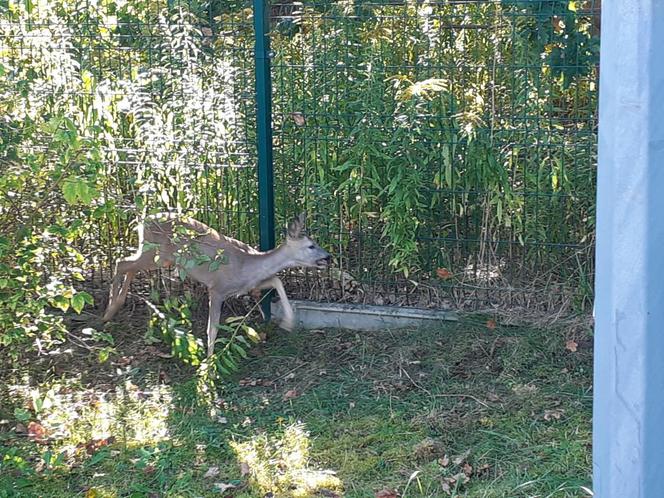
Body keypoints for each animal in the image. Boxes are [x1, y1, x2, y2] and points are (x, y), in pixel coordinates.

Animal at [100, 212, 330, 356]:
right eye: (311, 245)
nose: (328, 257)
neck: (246, 265)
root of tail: (142, 220)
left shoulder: (247, 286)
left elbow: (277, 279)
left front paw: (287, 322)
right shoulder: (217, 288)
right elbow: (212, 329)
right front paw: (209, 364)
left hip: (158, 257)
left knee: (128, 265)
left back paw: (115, 306)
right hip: (154, 252)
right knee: (121, 262)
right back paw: (108, 312)